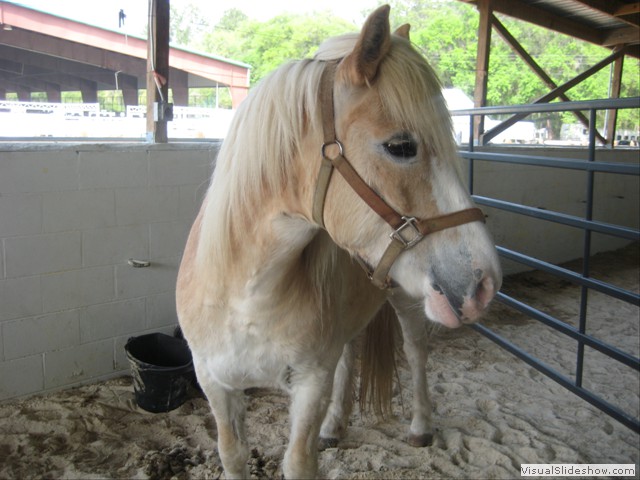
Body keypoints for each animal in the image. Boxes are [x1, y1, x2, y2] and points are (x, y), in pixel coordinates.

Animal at [175, 5, 500, 478]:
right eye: (400, 146)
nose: (484, 284)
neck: (247, 295)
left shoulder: (310, 383)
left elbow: (298, 461)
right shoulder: (215, 383)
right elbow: (232, 455)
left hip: (407, 301)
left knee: (415, 351)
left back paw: (421, 426)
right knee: (349, 353)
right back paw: (335, 424)